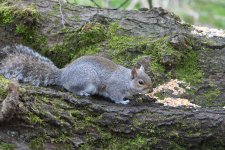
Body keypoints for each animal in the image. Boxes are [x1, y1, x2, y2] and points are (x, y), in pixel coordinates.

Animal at [0, 44, 153, 104]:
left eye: (149, 78)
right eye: (141, 82)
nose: (151, 90)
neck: (126, 80)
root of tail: (63, 75)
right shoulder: (115, 87)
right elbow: (115, 97)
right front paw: (123, 102)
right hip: (87, 80)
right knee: (72, 89)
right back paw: (83, 93)